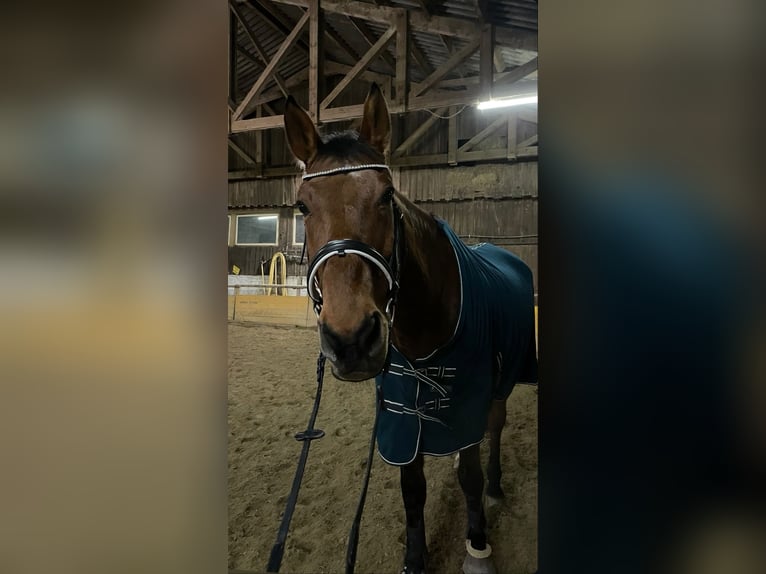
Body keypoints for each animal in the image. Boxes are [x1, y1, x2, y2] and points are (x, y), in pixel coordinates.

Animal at [283, 84, 538, 574]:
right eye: (303, 205)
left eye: (386, 195)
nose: (351, 340)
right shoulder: (402, 411)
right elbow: (412, 487)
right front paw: (415, 558)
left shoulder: (468, 398)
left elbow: (470, 474)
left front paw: (478, 545)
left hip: (503, 381)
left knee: (495, 429)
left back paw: (497, 487)